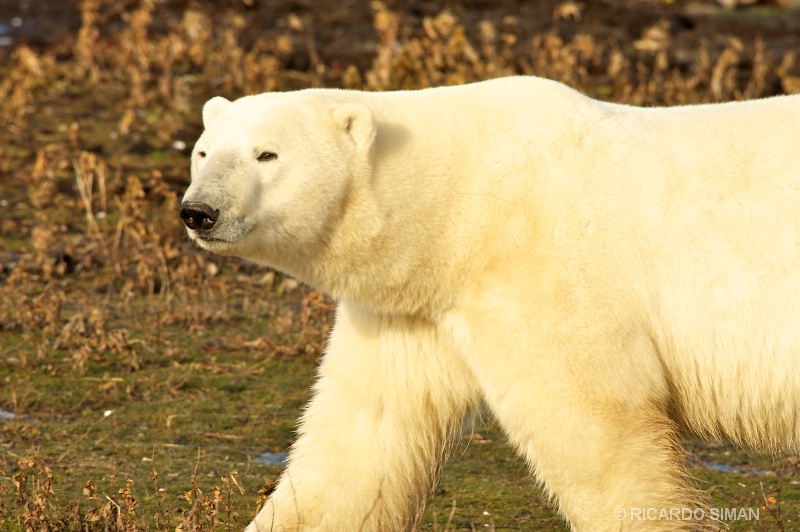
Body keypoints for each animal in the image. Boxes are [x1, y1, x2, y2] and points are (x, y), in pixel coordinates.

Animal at [180, 76, 800, 531]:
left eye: (267, 154)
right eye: (204, 151)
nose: (199, 211)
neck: (460, 203)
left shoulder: (542, 273)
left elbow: (601, 437)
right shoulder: (412, 313)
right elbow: (359, 439)